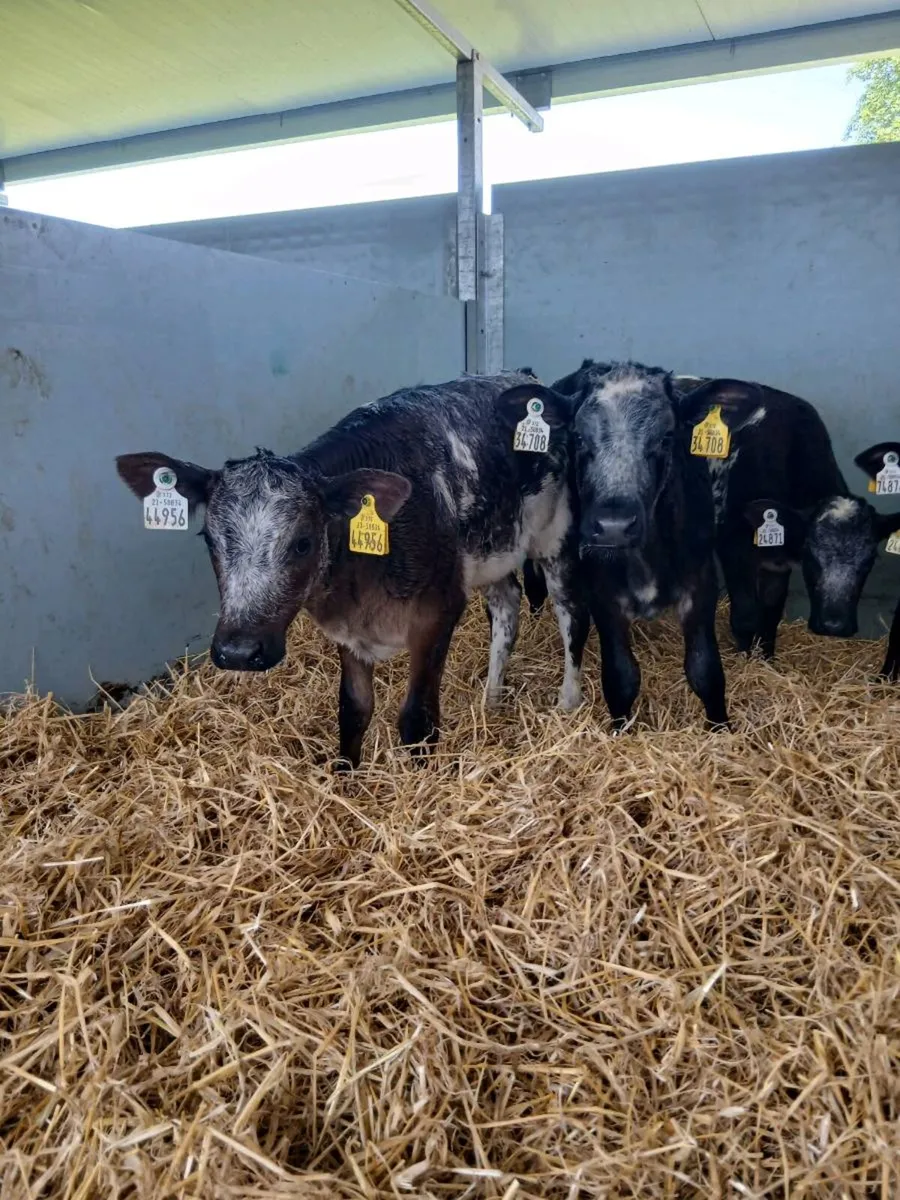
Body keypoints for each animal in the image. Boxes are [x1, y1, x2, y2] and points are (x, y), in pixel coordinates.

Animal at [116, 371, 588, 768]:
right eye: (209, 540)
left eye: (303, 541)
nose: (238, 652)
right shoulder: (347, 630)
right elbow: (353, 709)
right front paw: (346, 775)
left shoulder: (438, 612)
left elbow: (417, 720)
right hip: (495, 550)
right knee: (507, 610)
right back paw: (491, 700)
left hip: (556, 539)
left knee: (571, 616)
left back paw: (568, 701)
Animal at [531, 360, 763, 729]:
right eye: (578, 437)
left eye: (667, 436)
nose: (613, 526)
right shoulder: (602, 592)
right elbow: (620, 677)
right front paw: (620, 730)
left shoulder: (701, 583)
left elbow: (706, 670)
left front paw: (720, 727)